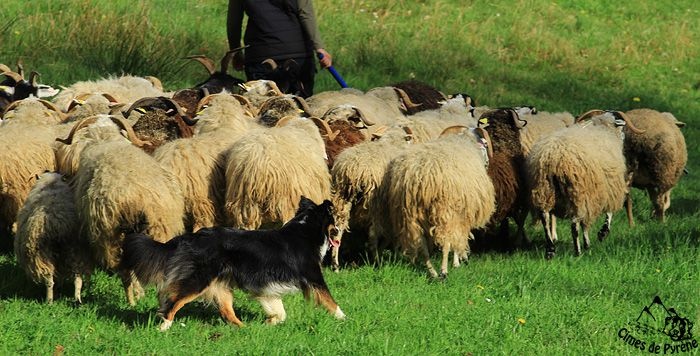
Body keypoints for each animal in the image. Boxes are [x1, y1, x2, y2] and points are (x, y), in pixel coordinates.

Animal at [123, 196, 348, 330]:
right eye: (333, 221)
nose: (338, 231)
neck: (307, 228)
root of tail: (189, 237)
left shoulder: (266, 285)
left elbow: (279, 311)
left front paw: (270, 321)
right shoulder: (313, 277)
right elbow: (331, 301)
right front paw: (345, 319)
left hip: (220, 283)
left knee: (226, 310)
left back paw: (245, 329)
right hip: (199, 279)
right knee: (173, 302)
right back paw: (164, 327)